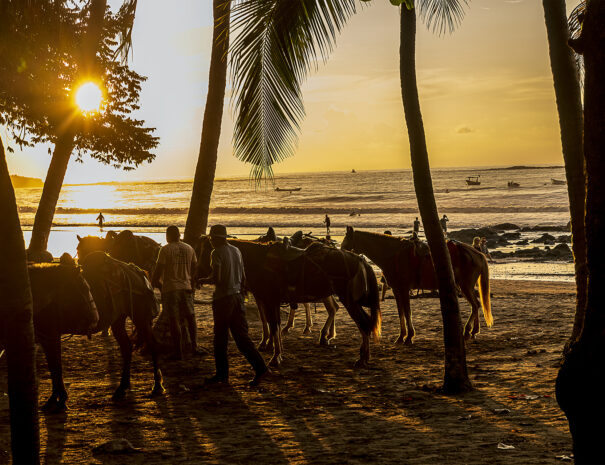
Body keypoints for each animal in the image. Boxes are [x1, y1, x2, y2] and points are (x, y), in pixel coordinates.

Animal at [25, 260, 98, 410]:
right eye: (84, 287)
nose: (95, 318)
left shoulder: (49, 337)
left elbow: (55, 368)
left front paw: (58, 399)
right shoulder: (48, 337)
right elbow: (55, 368)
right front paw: (58, 398)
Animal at [80, 252, 166, 400]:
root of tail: (138, 272)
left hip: (140, 317)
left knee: (152, 344)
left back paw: (157, 387)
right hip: (119, 319)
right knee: (127, 347)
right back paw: (122, 387)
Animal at [196, 237, 380, 368]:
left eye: (205, 252)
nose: (198, 275)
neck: (258, 260)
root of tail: (360, 260)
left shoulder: (269, 299)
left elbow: (273, 325)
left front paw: (275, 355)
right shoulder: (268, 299)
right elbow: (271, 324)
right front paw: (272, 347)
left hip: (349, 300)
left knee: (363, 323)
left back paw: (361, 357)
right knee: (348, 315)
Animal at [340, 227, 490, 342]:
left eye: (346, 239)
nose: (341, 252)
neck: (392, 255)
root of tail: (477, 253)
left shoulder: (404, 289)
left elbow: (407, 312)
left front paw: (409, 336)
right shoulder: (397, 290)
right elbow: (401, 312)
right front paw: (401, 336)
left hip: (465, 286)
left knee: (475, 305)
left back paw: (468, 331)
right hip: (466, 287)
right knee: (476, 305)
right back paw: (472, 331)